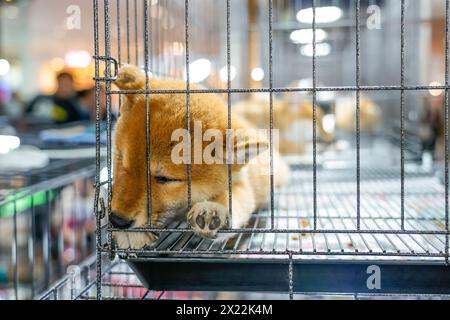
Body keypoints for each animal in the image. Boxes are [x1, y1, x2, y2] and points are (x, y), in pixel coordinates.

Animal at [110, 65, 290, 249]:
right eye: (123, 164)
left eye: (164, 179)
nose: (117, 220)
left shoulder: (242, 185)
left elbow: (234, 201)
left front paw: (214, 210)